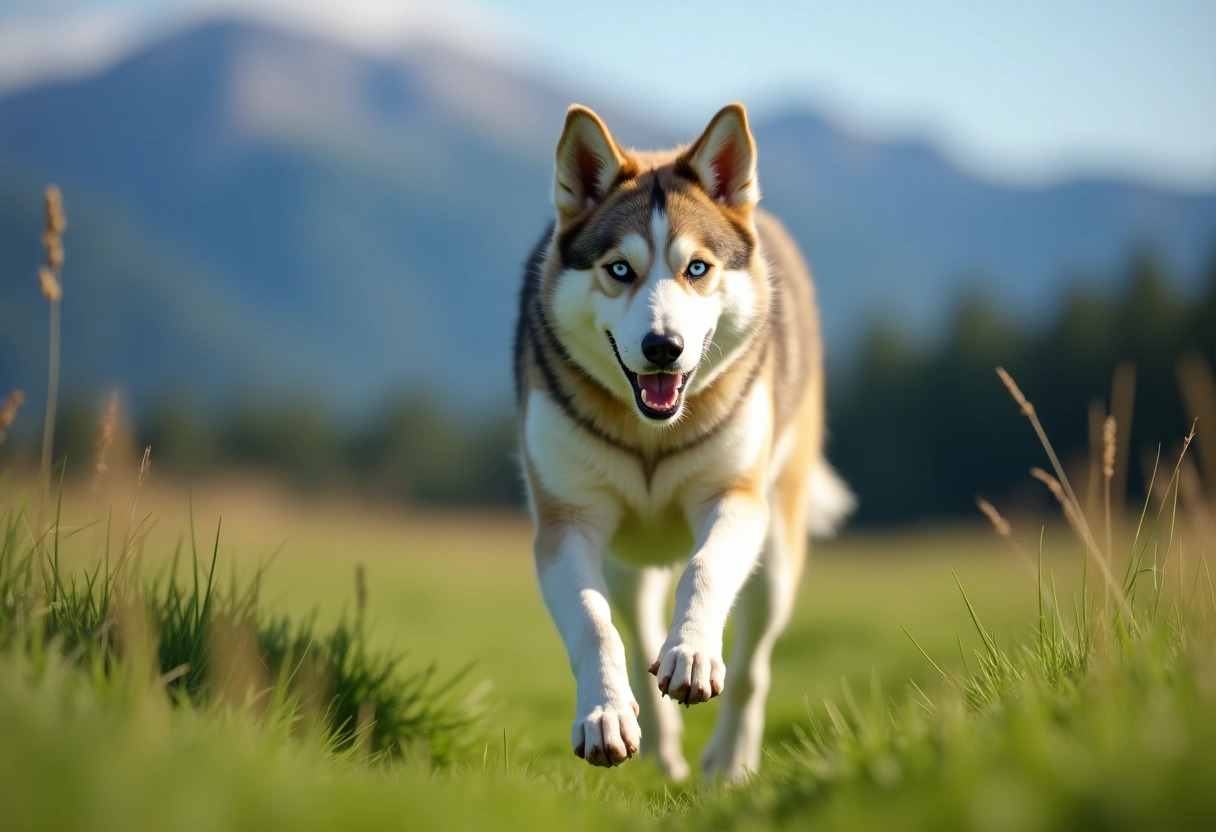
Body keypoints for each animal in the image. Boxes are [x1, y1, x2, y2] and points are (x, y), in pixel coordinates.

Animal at [513, 102, 856, 778]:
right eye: (619, 269)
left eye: (697, 268)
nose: (662, 347)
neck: (650, 435)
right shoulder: (567, 524)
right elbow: (593, 623)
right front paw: (604, 716)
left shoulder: (736, 498)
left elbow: (704, 567)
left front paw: (693, 654)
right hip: (625, 562)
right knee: (636, 627)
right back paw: (661, 746)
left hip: (777, 555)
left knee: (753, 666)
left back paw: (729, 764)